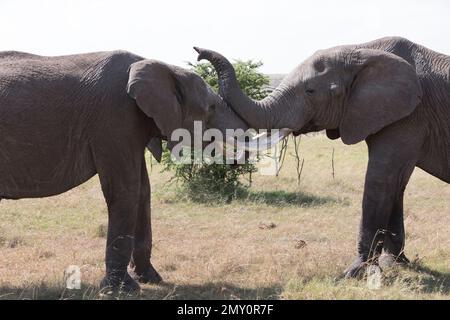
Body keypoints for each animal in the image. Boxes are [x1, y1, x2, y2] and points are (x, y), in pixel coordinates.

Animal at [0, 48, 246, 292]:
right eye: (211, 108)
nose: (198, 51)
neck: (161, 66)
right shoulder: (115, 119)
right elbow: (125, 190)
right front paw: (120, 290)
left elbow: (143, 192)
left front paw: (151, 280)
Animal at [196, 36, 450, 278]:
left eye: (310, 91)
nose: (198, 51)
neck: (361, 48)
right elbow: (396, 185)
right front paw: (394, 264)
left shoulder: (410, 116)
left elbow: (381, 179)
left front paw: (354, 272)